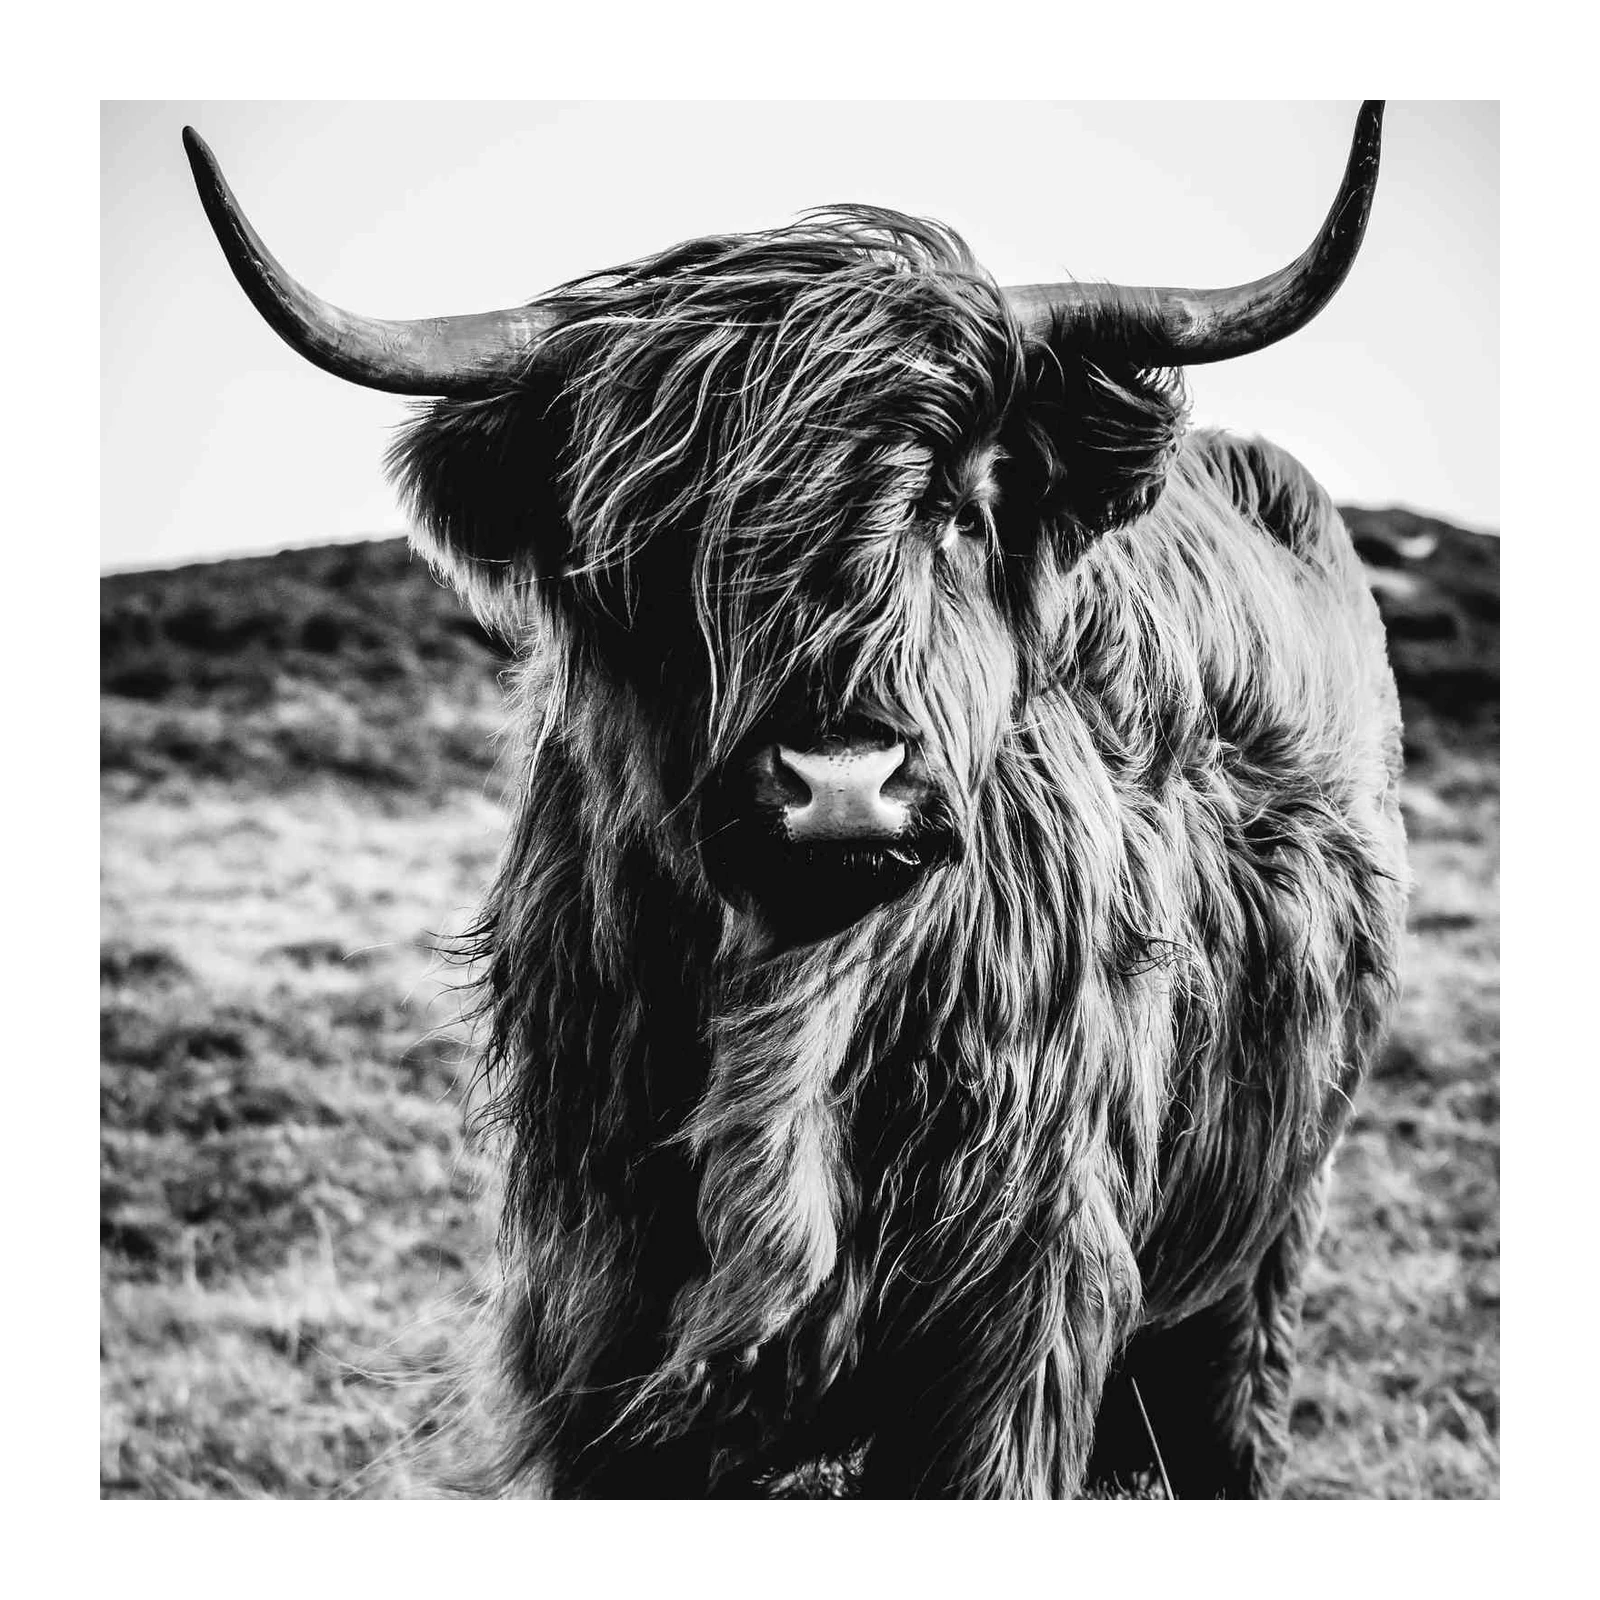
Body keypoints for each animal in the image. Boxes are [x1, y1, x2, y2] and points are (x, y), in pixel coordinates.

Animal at [185, 97, 1408, 1503]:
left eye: (961, 507)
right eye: (658, 540)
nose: (842, 784)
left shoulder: (1015, 1318)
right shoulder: (597, 1323)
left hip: (1264, 1237)